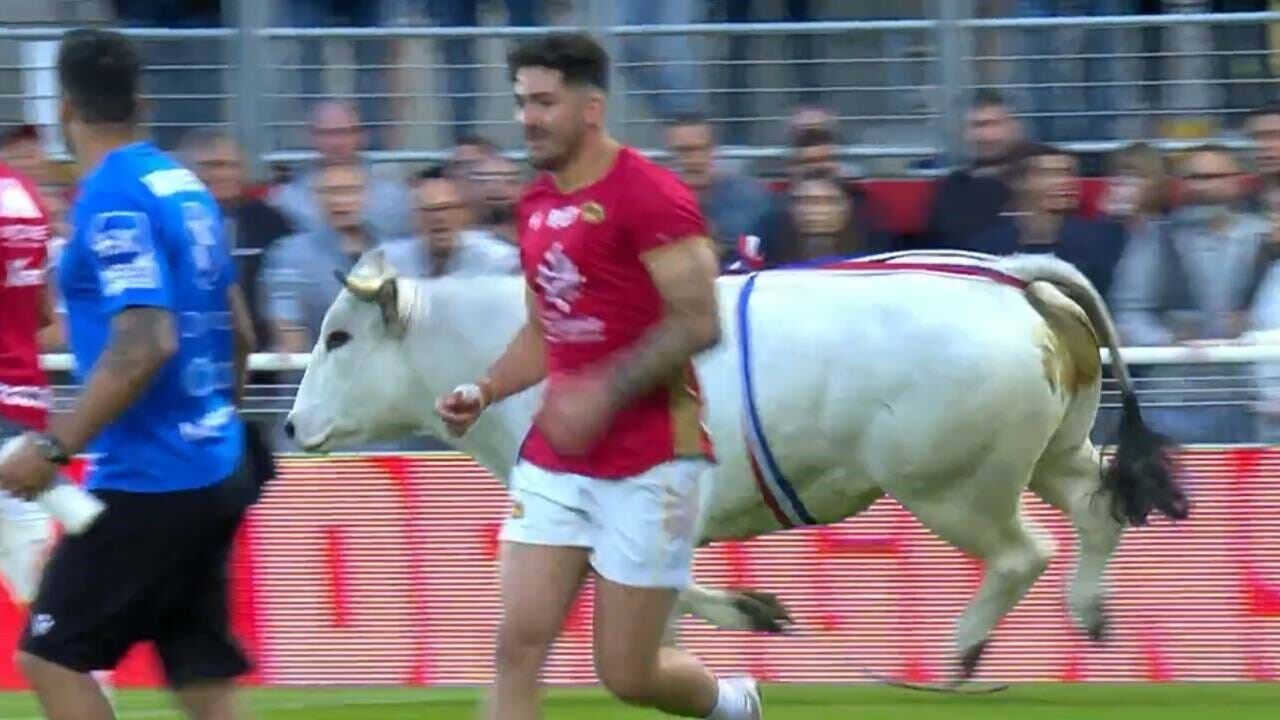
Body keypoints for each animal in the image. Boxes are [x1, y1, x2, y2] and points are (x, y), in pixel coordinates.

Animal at [285, 248, 1182, 676]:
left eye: (340, 336)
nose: (292, 424)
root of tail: (1010, 278)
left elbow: (658, 588)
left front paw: (755, 611)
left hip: (953, 488)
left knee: (1022, 553)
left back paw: (960, 654)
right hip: (1051, 454)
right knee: (1096, 508)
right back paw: (1090, 613)